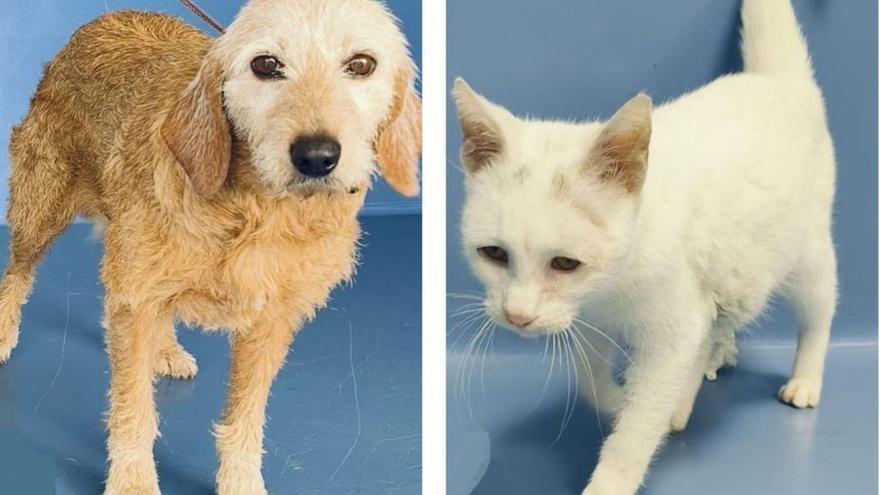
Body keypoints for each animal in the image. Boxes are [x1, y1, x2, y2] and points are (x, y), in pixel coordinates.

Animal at [0, 1, 422, 494]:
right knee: (19, 272)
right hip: (43, 206)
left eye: (361, 64)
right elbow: (133, 408)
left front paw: (240, 481)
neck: (256, 209)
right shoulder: (135, 295)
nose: (317, 156)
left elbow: (246, 417)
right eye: (266, 64)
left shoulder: (270, 322)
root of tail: (105, 17)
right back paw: (6, 331)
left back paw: (164, 349)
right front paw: (132, 481)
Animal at [458, 1, 836, 494]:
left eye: (565, 263)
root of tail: (777, 82)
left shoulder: (671, 328)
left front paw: (612, 476)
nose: (517, 316)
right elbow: (590, 378)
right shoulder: (589, 319)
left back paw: (804, 379)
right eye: (494, 254)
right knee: (716, 322)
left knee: (819, 311)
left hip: (805, 252)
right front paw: (619, 401)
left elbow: (640, 421)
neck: (610, 289)